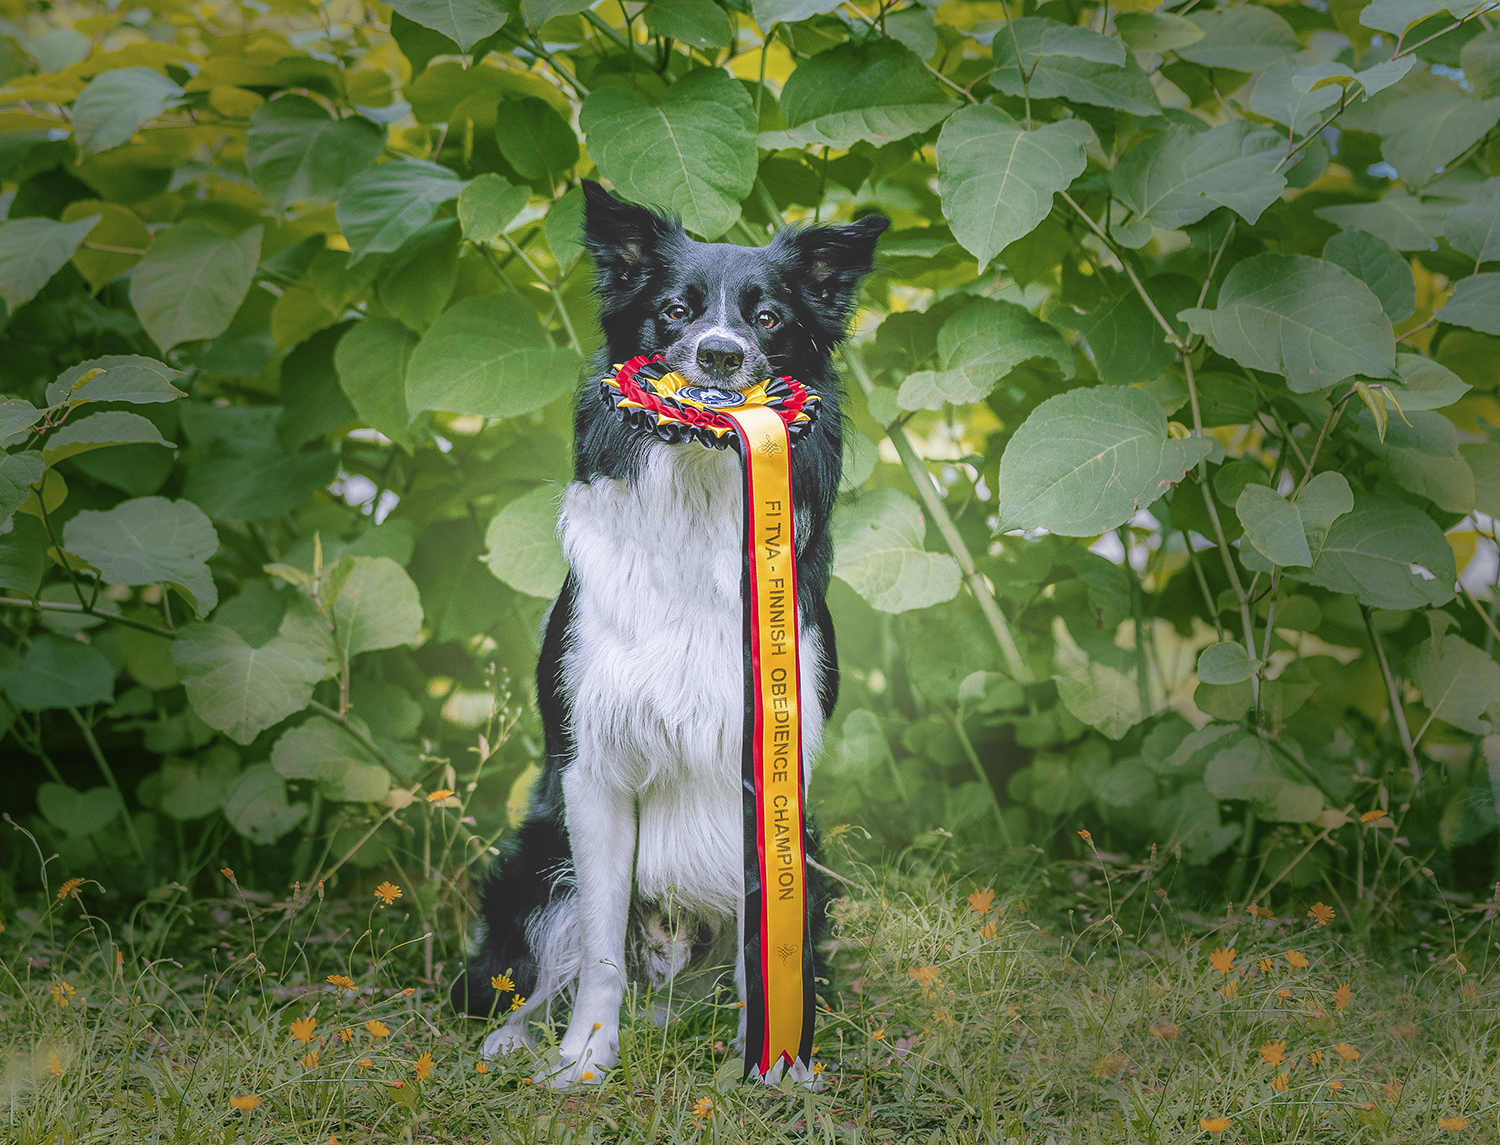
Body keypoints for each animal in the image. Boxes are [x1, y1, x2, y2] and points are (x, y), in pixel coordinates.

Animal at [449, 180, 887, 1087]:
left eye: (768, 318)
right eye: (675, 311)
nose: (718, 354)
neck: (700, 488)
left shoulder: (773, 773)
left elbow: (768, 950)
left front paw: (776, 1065)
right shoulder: (593, 768)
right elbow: (599, 949)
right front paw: (585, 1060)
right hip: (537, 860)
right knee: (538, 969)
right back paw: (514, 1038)